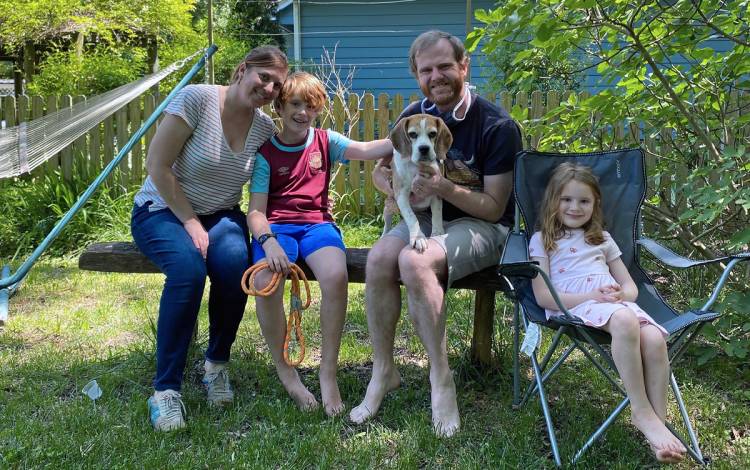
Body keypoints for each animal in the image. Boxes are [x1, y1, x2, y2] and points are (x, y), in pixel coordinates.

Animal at [382, 113, 452, 252]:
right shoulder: (401, 195)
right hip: (389, 205)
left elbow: (437, 213)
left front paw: (437, 232)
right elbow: (411, 217)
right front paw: (418, 237)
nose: (424, 148)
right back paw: (384, 234)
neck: (416, 166)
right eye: (413, 134)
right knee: (387, 222)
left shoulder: (436, 190)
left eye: (433, 133)